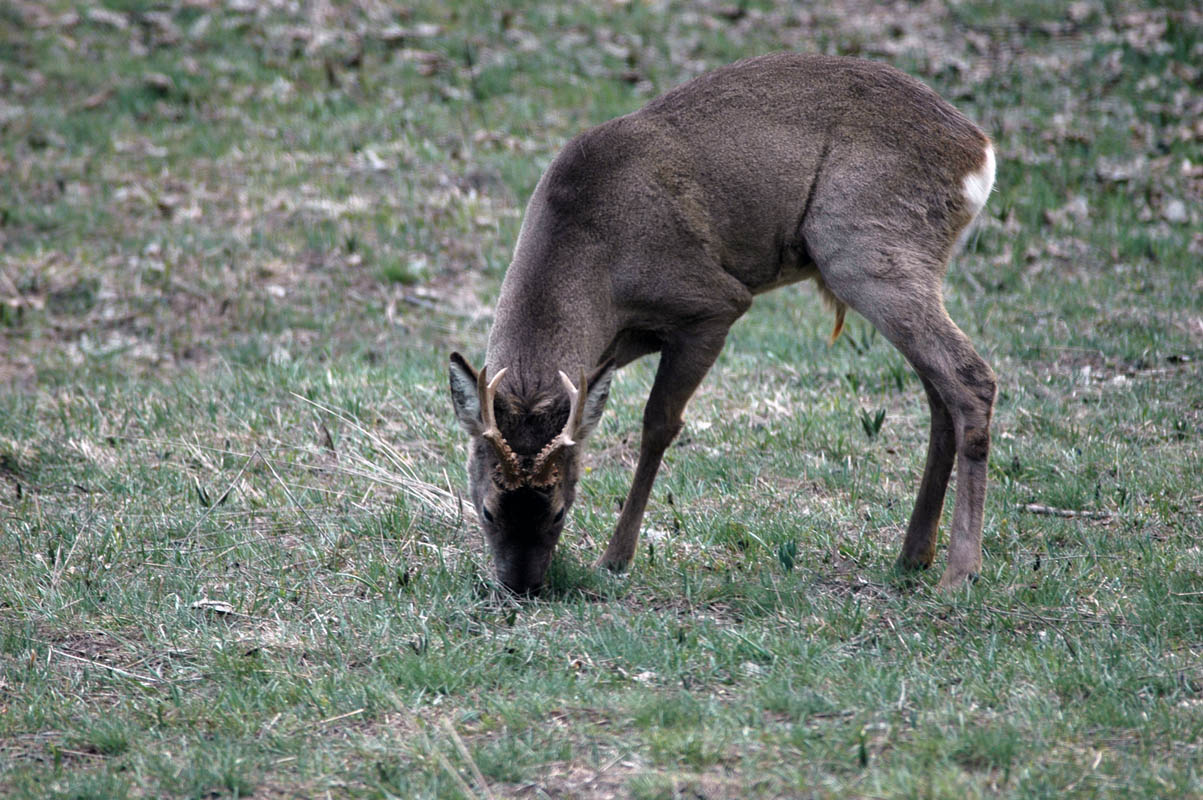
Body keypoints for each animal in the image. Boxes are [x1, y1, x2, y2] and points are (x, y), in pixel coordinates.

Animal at [449, 52, 996, 591]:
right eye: (488, 510)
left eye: (560, 511)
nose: (521, 587)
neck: (595, 257)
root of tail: (979, 151)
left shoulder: (713, 302)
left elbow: (658, 424)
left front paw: (616, 557)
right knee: (940, 394)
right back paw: (913, 555)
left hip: (865, 248)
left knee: (971, 378)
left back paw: (960, 571)